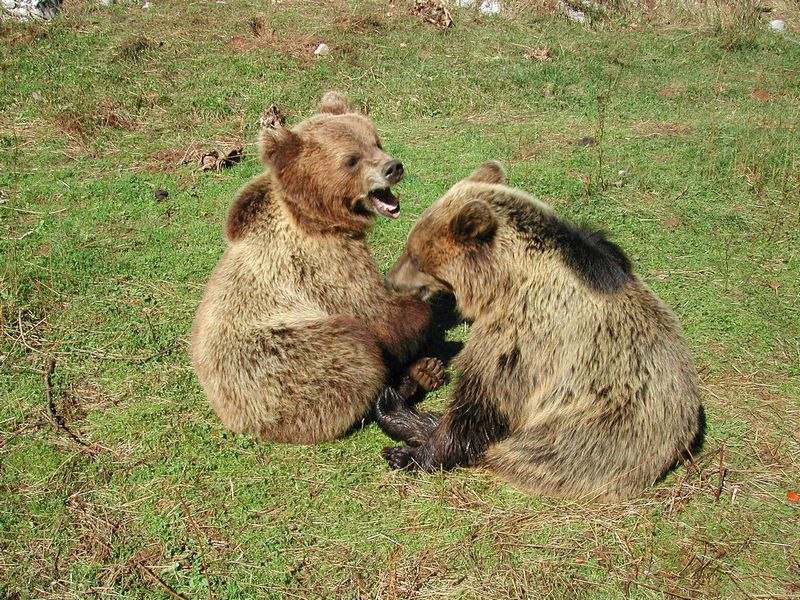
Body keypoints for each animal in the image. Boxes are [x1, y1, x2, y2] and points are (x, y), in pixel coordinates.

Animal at [190, 92, 443, 444]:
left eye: (376, 141)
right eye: (351, 159)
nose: (393, 167)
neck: (318, 217)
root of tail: (233, 418)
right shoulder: (321, 263)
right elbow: (375, 313)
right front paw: (422, 313)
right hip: (277, 361)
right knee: (352, 353)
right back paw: (407, 385)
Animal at [374, 161, 703, 500]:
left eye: (416, 258)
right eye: (409, 249)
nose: (390, 279)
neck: (504, 282)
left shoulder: (526, 334)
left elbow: (482, 402)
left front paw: (410, 455)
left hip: (587, 436)